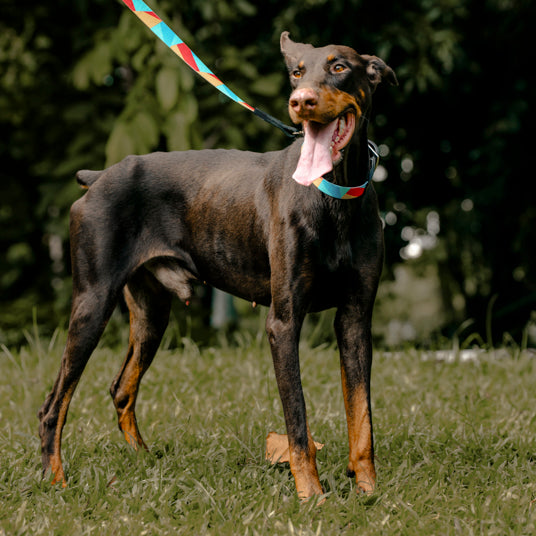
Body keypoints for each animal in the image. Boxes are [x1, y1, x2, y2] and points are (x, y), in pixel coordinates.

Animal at [37, 31, 396, 500]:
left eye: (339, 67)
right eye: (296, 71)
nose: (300, 101)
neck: (332, 195)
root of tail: (97, 178)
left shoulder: (355, 318)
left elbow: (362, 416)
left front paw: (369, 491)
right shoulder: (283, 323)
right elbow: (298, 421)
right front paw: (312, 496)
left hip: (151, 315)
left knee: (120, 389)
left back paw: (144, 462)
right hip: (92, 304)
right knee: (53, 405)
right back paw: (56, 479)